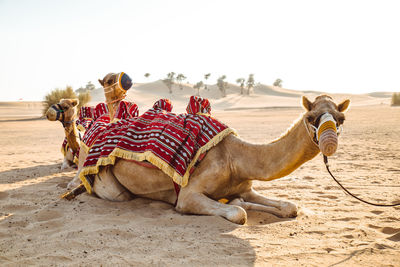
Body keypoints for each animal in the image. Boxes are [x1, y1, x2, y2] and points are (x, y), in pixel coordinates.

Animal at [65, 73, 350, 224]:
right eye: (311, 117)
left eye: (341, 118)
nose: (330, 143)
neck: (236, 158)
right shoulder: (188, 195)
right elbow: (238, 212)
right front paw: (237, 205)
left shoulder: (246, 186)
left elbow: (289, 206)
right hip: (106, 181)